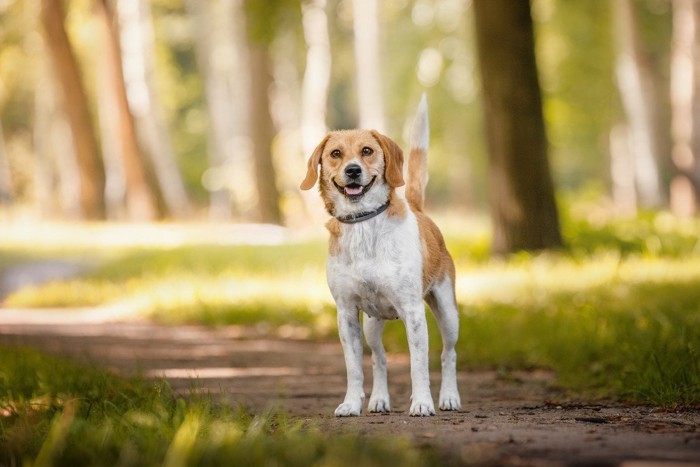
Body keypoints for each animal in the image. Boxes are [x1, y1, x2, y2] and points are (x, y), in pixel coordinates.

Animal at [300, 95, 460, 416]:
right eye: (335, 153)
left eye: (367, 151)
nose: (352, 170)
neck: (364, 223)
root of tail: (417, 208)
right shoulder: (347, 313)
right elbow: (354, 367)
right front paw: (351, 404)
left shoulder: (413, 312)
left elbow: (418, 365)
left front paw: (422, 402)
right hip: (372, 325)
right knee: (379, 358)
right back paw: (379, 400)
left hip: (448, 313)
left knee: (448, 354)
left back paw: (449, 397)